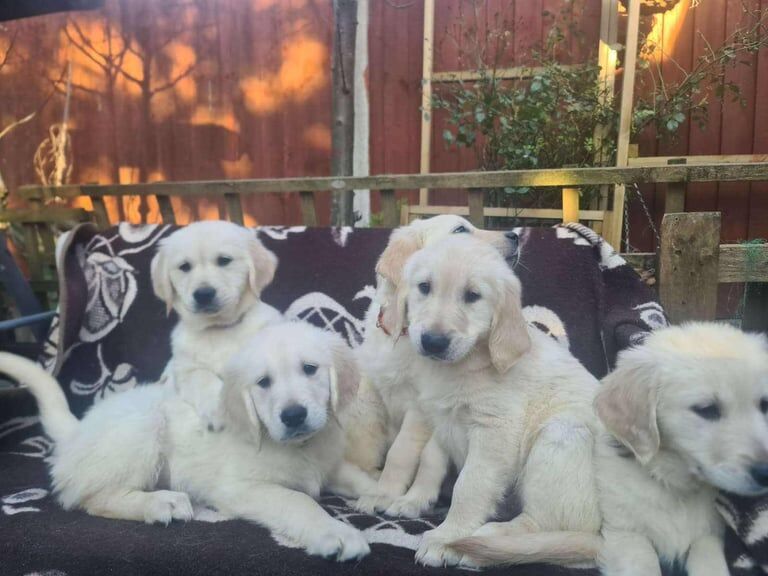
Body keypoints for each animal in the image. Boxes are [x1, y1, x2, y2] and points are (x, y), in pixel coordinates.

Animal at [0, 324, 376, 564]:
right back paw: (160, 503)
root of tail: (78, 429)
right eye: (263, 383)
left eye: (310, 368)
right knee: (90, 499)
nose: (294, 415)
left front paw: (381, 495)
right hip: (143, 426)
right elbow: (298, 502)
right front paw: (335, 532)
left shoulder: (329, 466)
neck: (301, 447)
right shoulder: (240, 488)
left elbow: (356, 476)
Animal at [151, 220, 282, 432]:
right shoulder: (187, 369)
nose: (203, 294)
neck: (220, 329)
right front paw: (217, 412)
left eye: (224, 260)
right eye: (184, 267)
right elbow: (204, 379)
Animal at [350, 213, 520, 516]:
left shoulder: (420, 410)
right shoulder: (372, 391)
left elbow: (403, 453)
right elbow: (366, 436)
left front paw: (385, 494)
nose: (515, 235)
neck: (403, 335)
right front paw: (366, 478)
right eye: (460, 230)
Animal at [390, 235, 608, 568]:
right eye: (424, 287)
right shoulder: (440, 418)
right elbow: (430, 461)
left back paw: (485, 541)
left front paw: (446, 537)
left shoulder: (494, 431)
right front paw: (413, 500)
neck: (463, 366)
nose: (433, 342)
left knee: (551, 527)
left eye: (473, 295)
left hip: (561, 434)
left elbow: (469, 485)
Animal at [592, 324, 768, 576]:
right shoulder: (626, 533)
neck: (676, 486)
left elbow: (708, 562)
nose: (766, 473)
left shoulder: (709, 534)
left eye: (765, 405)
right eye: (707, 409)